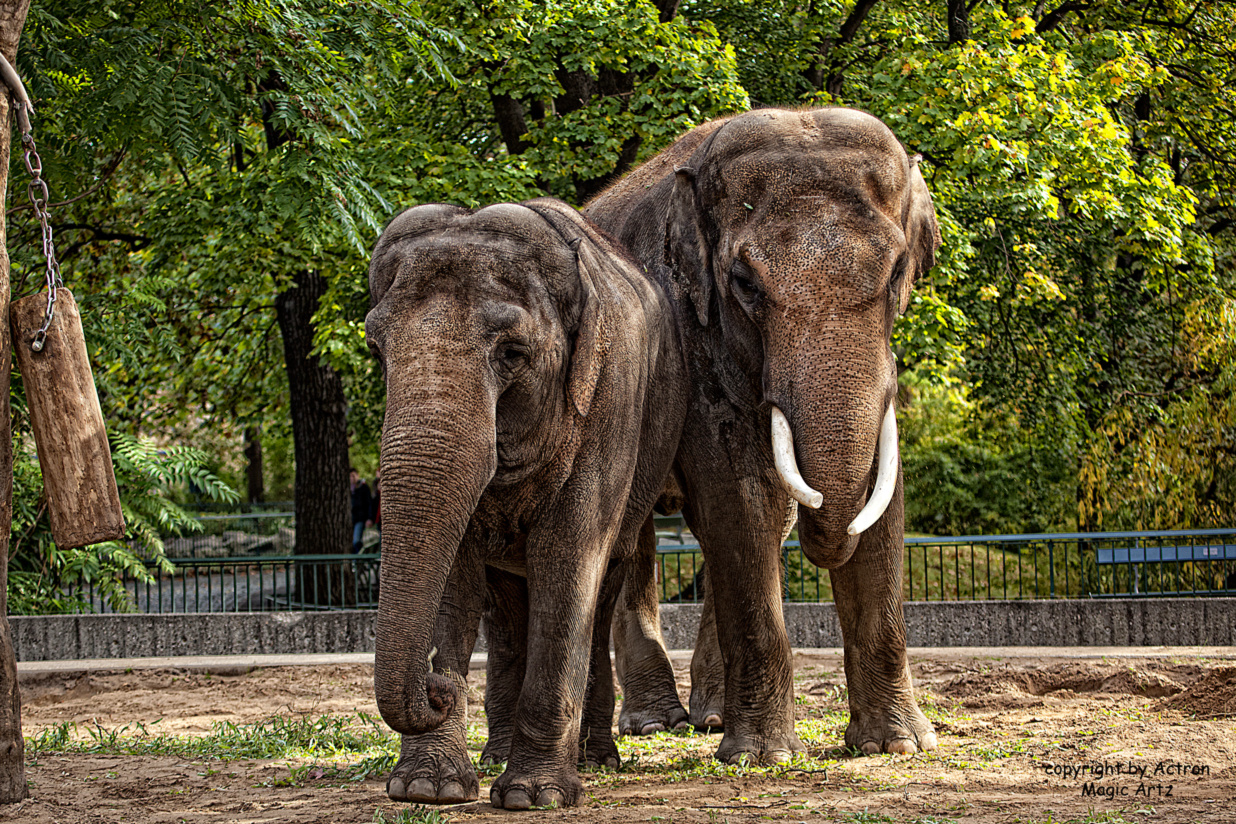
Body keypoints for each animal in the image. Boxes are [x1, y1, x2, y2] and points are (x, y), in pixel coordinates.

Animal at [368, 196, 687, 810]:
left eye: (513, 352)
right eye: (376, 348)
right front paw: (427, 788)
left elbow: (567, 561)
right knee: (508, 608)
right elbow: (455, 572)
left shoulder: (609, 405)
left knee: (598, 594)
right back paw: (497, 754)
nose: (439, 688)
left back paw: (596, 760)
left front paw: (532, 797)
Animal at [583, 106, 939, 765]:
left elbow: (880, 495)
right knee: (635, 537)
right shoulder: (693, 339)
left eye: (899, 271)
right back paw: (656, 723)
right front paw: (762, 756)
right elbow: (738, 496)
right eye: (744, 283)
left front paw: (898, 745)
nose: (827, 538)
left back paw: (710, 716)